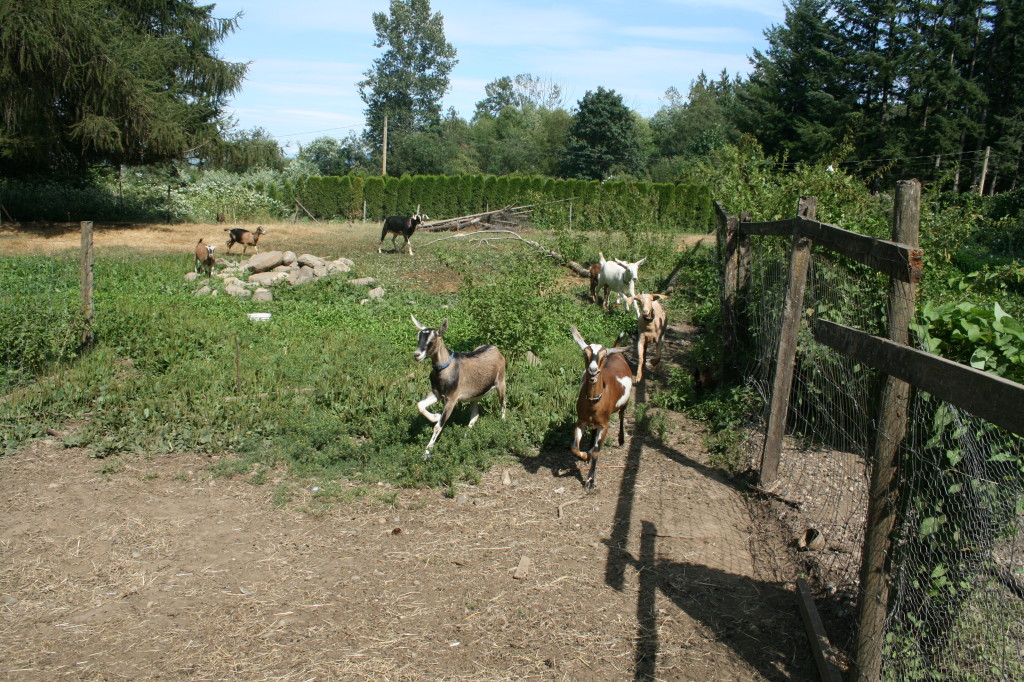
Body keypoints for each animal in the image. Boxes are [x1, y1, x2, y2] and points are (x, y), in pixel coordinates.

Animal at [411, 315, 507, 460]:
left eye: (432, 340)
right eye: (418, 337)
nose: (417, 355)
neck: (446, 368)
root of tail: (495, 349)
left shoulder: (452, 398)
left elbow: (438, 427)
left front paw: (426, 454)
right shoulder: (437, 393)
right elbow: (420, 405)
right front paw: (435, 416)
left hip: (501, 382)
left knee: (503, 404)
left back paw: (502, 424)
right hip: (475, 394)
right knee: (475, 415)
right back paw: (466, 437)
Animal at [570, 326, 634, 489]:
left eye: (603, 356)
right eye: (585, 353)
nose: (592, 371)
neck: (594, 403)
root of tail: (617, 351)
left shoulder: (604, 425)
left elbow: (597, 453)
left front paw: (590, 481)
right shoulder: (581, 421)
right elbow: (574, 448)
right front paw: (585, 454)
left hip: (625, 402)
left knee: (622, 415)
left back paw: (621, 440)